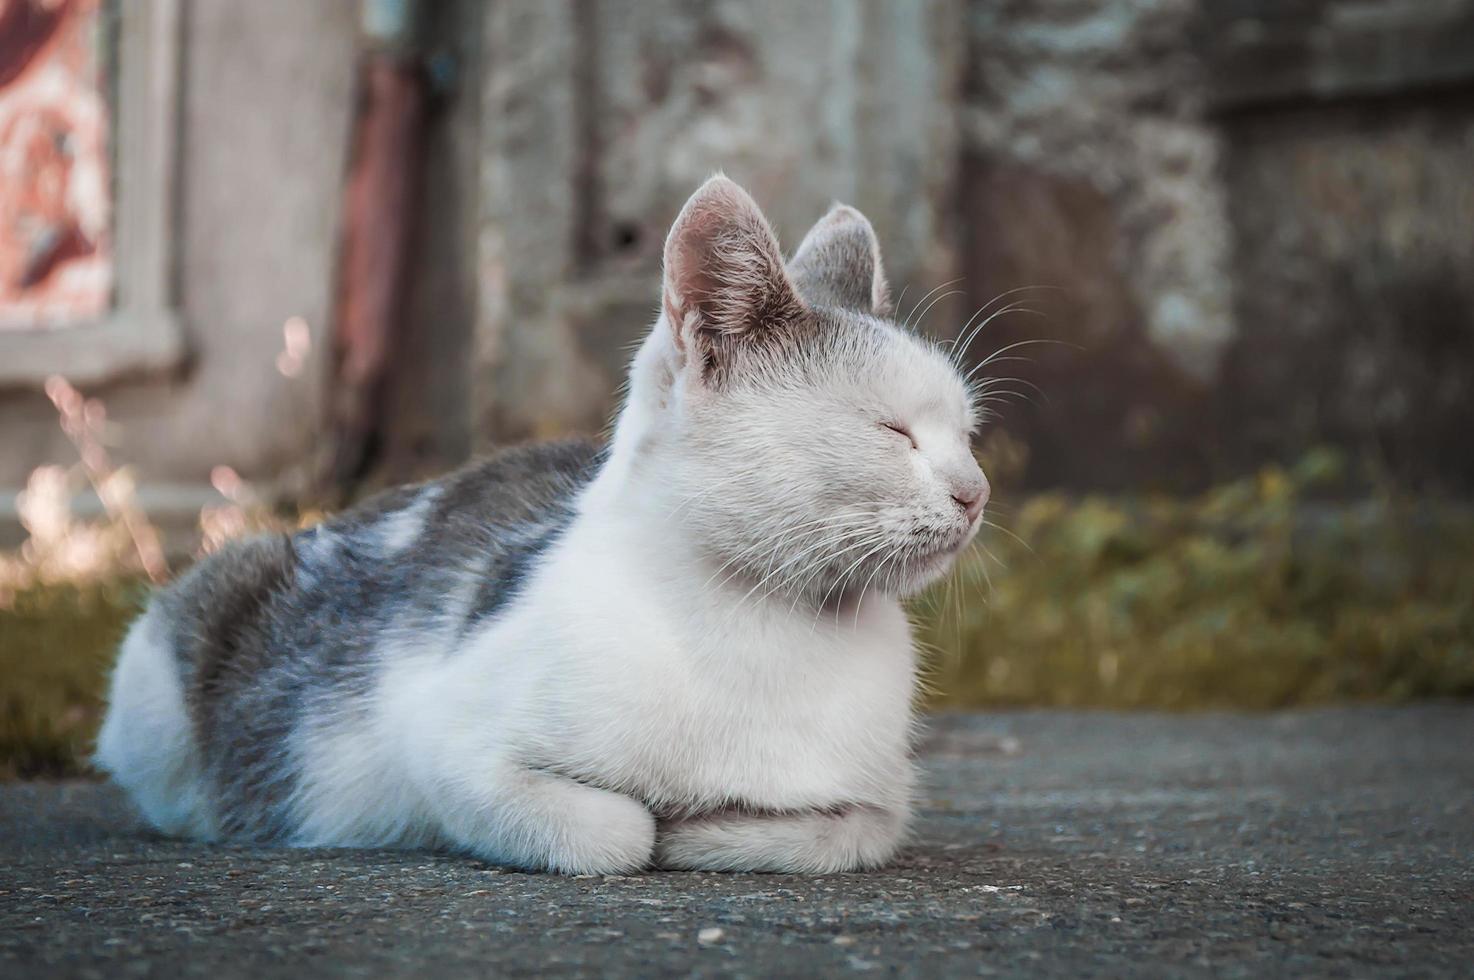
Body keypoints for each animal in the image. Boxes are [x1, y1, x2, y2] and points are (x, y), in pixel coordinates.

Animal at [95, 176, 990, 872]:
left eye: (965, 433)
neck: (769, 631)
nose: (977, 492)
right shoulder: (441, 746)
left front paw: (712, 824)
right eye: (895, 433)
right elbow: (616, 832)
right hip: (165, 676)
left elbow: (840, 830)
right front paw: (665, 821)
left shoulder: (880, 800)